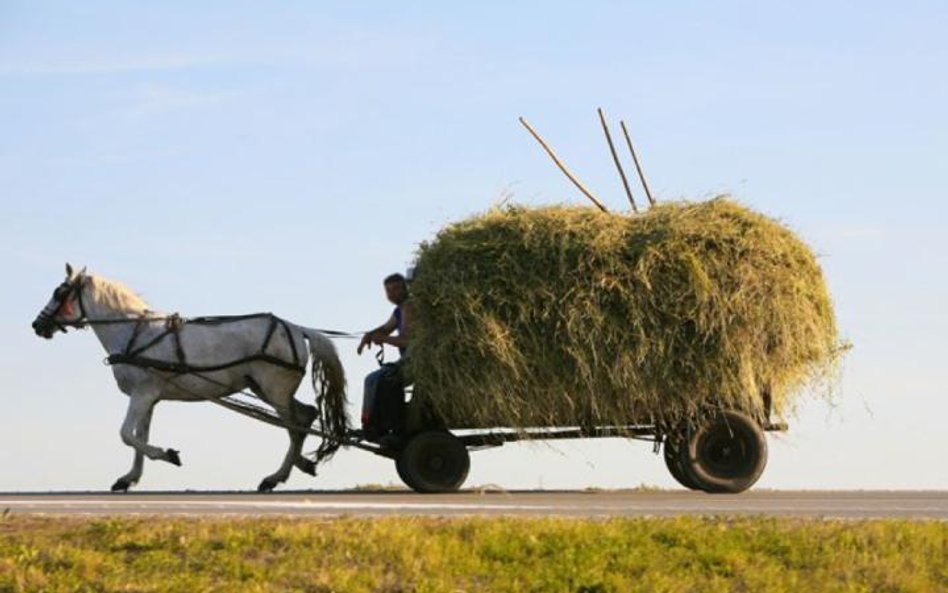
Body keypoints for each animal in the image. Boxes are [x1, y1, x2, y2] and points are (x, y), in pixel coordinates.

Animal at [33, 264, 354, 490]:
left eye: (60, 292)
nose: (37, 324)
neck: (134, 333)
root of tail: (298, 329)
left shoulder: (142, 394)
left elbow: (126, 434)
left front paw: (166, 454)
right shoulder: (149, 398)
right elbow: (139, 436)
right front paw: (130, 477)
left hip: (274, 390)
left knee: (294, 427)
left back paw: (275, 477)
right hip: (266, 389)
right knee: (305, 416)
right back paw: (300, 464)